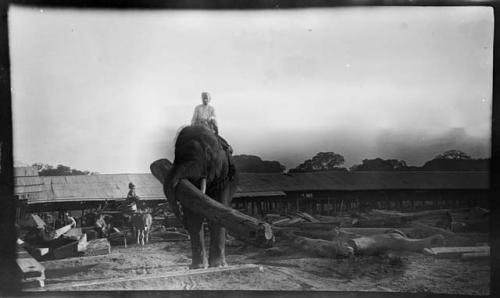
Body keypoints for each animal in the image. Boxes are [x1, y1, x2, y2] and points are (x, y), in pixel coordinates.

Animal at [161, 124, 237, 268]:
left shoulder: (224, 177)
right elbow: (193, 212)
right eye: (176, 155)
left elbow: (219, 211)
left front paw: (217, 266)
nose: (181, 221)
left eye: (208, 153)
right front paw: (198, 267)